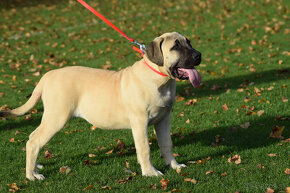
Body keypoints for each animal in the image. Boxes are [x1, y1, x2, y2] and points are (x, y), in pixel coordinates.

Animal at [0, 32, 201, 181]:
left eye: (189, 42)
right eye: (176, 47)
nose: (198, 55)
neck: (159, 79)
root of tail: (47, 76)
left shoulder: (164, 119)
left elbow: (167, 144)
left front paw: (174, 166)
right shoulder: (140, 122)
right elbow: (145, 149)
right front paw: (150, 172)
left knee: (34, 139)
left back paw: (35, 167)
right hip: (56, 117)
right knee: (34, 140)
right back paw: (31, 175)